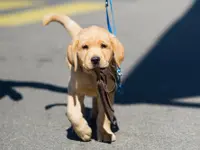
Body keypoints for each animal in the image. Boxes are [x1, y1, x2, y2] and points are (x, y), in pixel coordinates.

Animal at [42, 13, 123, 142]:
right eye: (85, 47)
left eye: (103, 46)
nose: (95, 59)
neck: (93, 75)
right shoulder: (73, 91)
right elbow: (72, 113)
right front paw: (83, 132)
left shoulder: (107, 93)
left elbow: (104, 116)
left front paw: (105, 133)